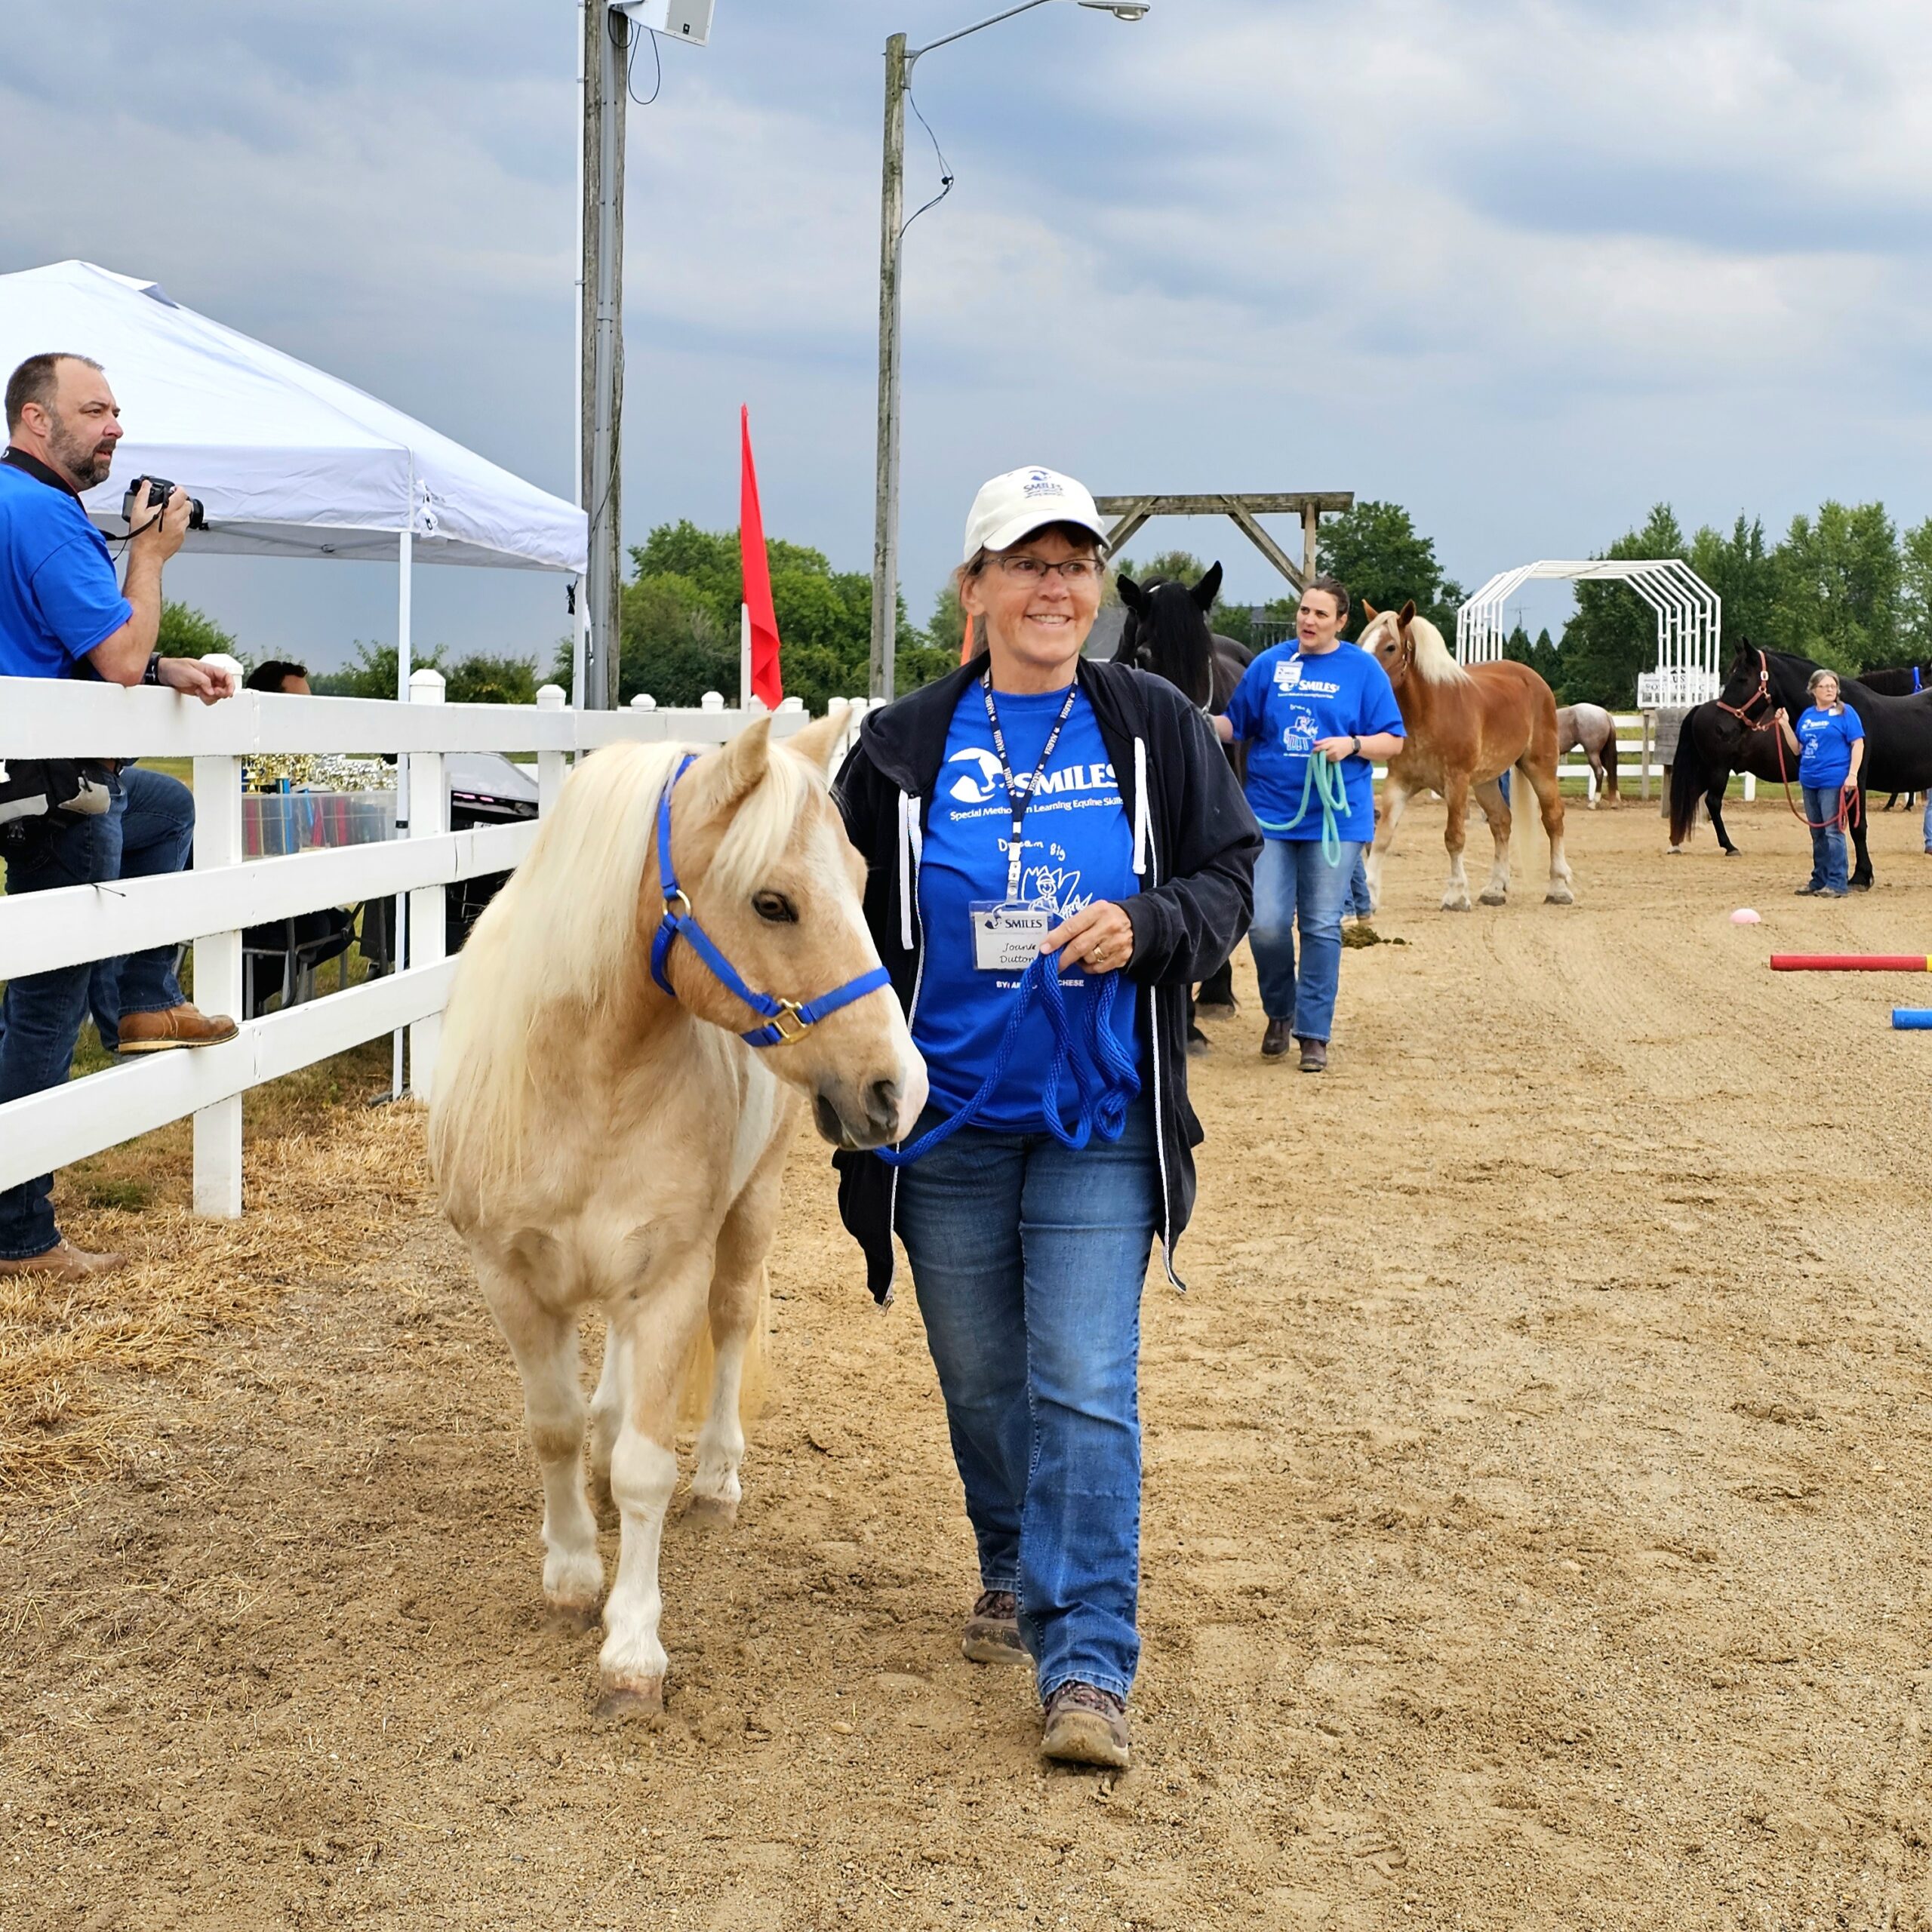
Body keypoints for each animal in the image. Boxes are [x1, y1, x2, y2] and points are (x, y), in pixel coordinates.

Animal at [429, 714, 926, 1716]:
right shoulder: (511, 1279)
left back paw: (719, 1476)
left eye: (863, 884)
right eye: (773, 903)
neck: (584, 1080)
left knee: (730, 1326)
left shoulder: (669, 1279)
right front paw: (572, 1572)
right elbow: (554, 1427)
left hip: (747, 1216)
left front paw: (631, 1647)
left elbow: (647, 1467)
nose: (901, 1087)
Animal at [1357, 599, 1574, 912]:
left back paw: (1559, 888)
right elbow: (1383, 836)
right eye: (1361, 642)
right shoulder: (1399, 781)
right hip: (1485, 781)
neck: (1427, 711)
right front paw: (1370, 897)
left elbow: (1454, 837)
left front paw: (1456, 895)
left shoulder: (1456, 782)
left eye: (1390, 646)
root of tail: (1533, 679)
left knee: (1553, 818)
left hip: (1540, 768)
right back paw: (1495, 889)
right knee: (1501, 822)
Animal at [1555, 703, 1620, 806]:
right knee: (1611, 770)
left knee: (1599, 772)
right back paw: (1615, 800)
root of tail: (1605, 714)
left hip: (1592, 753)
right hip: (1602, 754)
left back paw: (1594, 803)